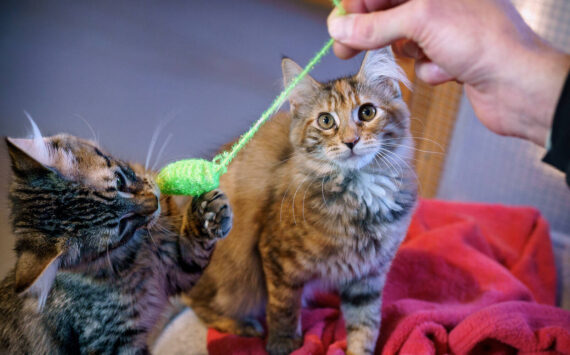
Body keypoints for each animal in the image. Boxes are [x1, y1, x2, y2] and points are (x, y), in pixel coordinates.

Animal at [0, 130, 231, 354]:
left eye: (119, 181)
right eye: (121, 225)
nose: (155, 203)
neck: (138, 249)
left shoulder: (176, 266)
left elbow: (194, 246)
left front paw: (209, 213)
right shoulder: (114, 342)